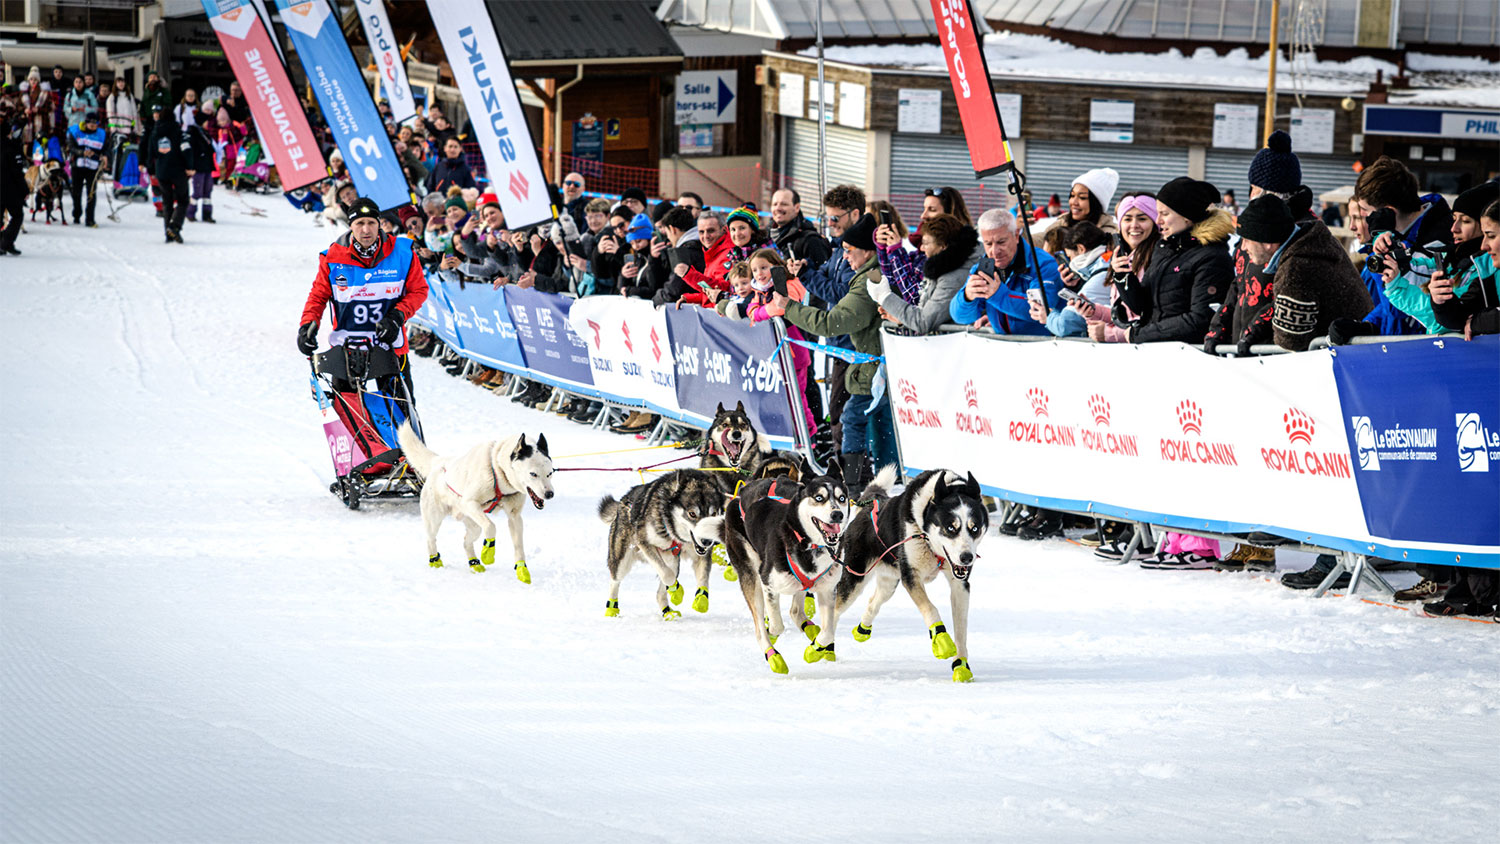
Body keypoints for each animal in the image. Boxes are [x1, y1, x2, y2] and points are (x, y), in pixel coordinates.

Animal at [399, 419, 558, 584]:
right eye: (533, 474)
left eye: (550, 473)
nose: (549, 494)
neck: (498, 470)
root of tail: (440, 461)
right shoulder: (470, 503)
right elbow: (491, 527)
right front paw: (488, 553)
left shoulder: (514, 517)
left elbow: (518, 545)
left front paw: (521, 569)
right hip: (435, 519)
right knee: (431, 539)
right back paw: (435, 560)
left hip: (473, 525)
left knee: (466, 542)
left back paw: (474, 562)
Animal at [720, 473, 852, 677]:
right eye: (819, 498)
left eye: (842, 498)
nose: (837, 514)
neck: (810, 544)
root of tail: (741, 494)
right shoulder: (768, 583)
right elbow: (776, 625)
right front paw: (772, 634)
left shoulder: (827, 590)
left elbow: (828, 631)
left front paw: (814, 650)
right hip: (751, 575)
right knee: (760, 626)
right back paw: (773, 655)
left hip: (802, 586)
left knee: (796, 611)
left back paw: (810, 630)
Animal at [834, 473, 984, 683]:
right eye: (950, 528)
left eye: (975, 528)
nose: (967, 557)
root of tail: (868, 507)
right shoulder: (911, 577)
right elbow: (930, 608)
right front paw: (941, 639)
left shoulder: (959, 584)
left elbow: (961, 630)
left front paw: (961, 664)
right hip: (854, 578)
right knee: (834, 610)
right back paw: (821, 644)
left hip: (889, 583)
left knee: (873, 602)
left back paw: (863, 629)